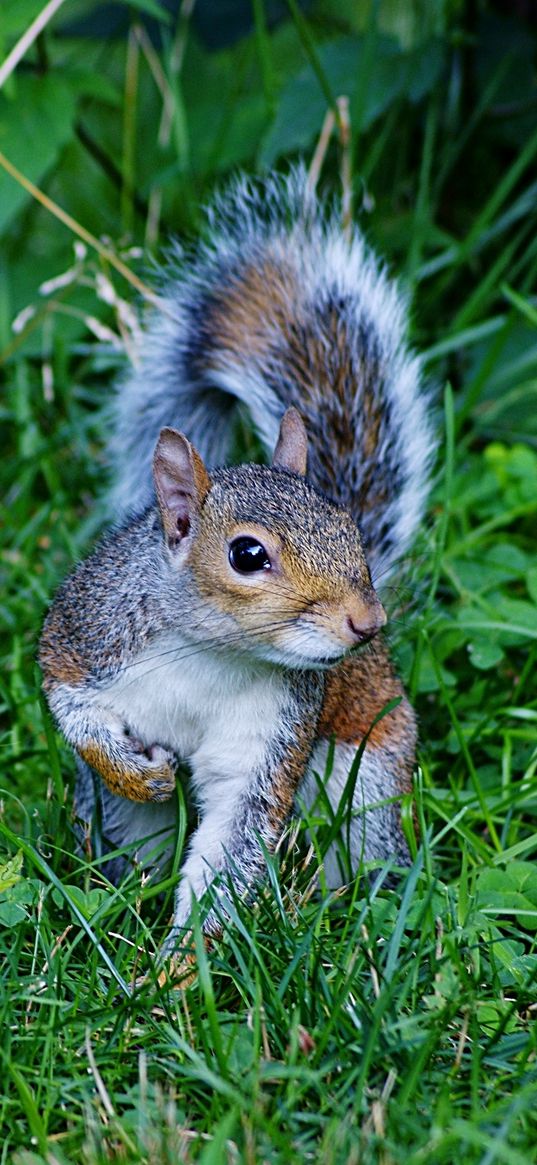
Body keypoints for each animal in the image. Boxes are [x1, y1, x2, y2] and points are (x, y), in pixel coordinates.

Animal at [38, 168, 430, 959]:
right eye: (247, 554)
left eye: (349, 529)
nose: (367, 621)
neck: (210, 651)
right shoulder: (85, 634)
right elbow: (72, 708)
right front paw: (135, 772)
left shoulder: (270, 734)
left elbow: (233, 842)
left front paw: (178, 971)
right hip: (124, 824)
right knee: (136, 839)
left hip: (367, 774)